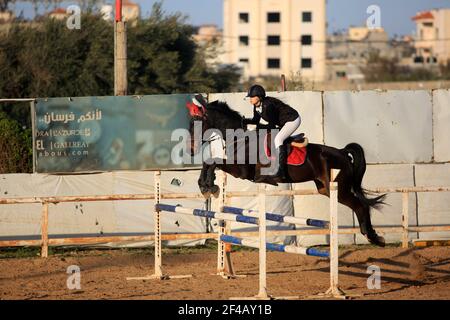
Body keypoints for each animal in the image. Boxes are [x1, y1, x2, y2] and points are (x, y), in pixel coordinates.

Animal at [186, 100, 386, 248]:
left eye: (197, 124)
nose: (191, 150)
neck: (239, 138)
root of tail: (343, 153)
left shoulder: (240, 170)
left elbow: (214, 161)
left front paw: (209, 185)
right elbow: (209, 162)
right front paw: (205, 185)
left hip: (338, 188)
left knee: (360, 206)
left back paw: (374, 237)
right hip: (324, 188)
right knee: (358, 204)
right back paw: (373, 236)